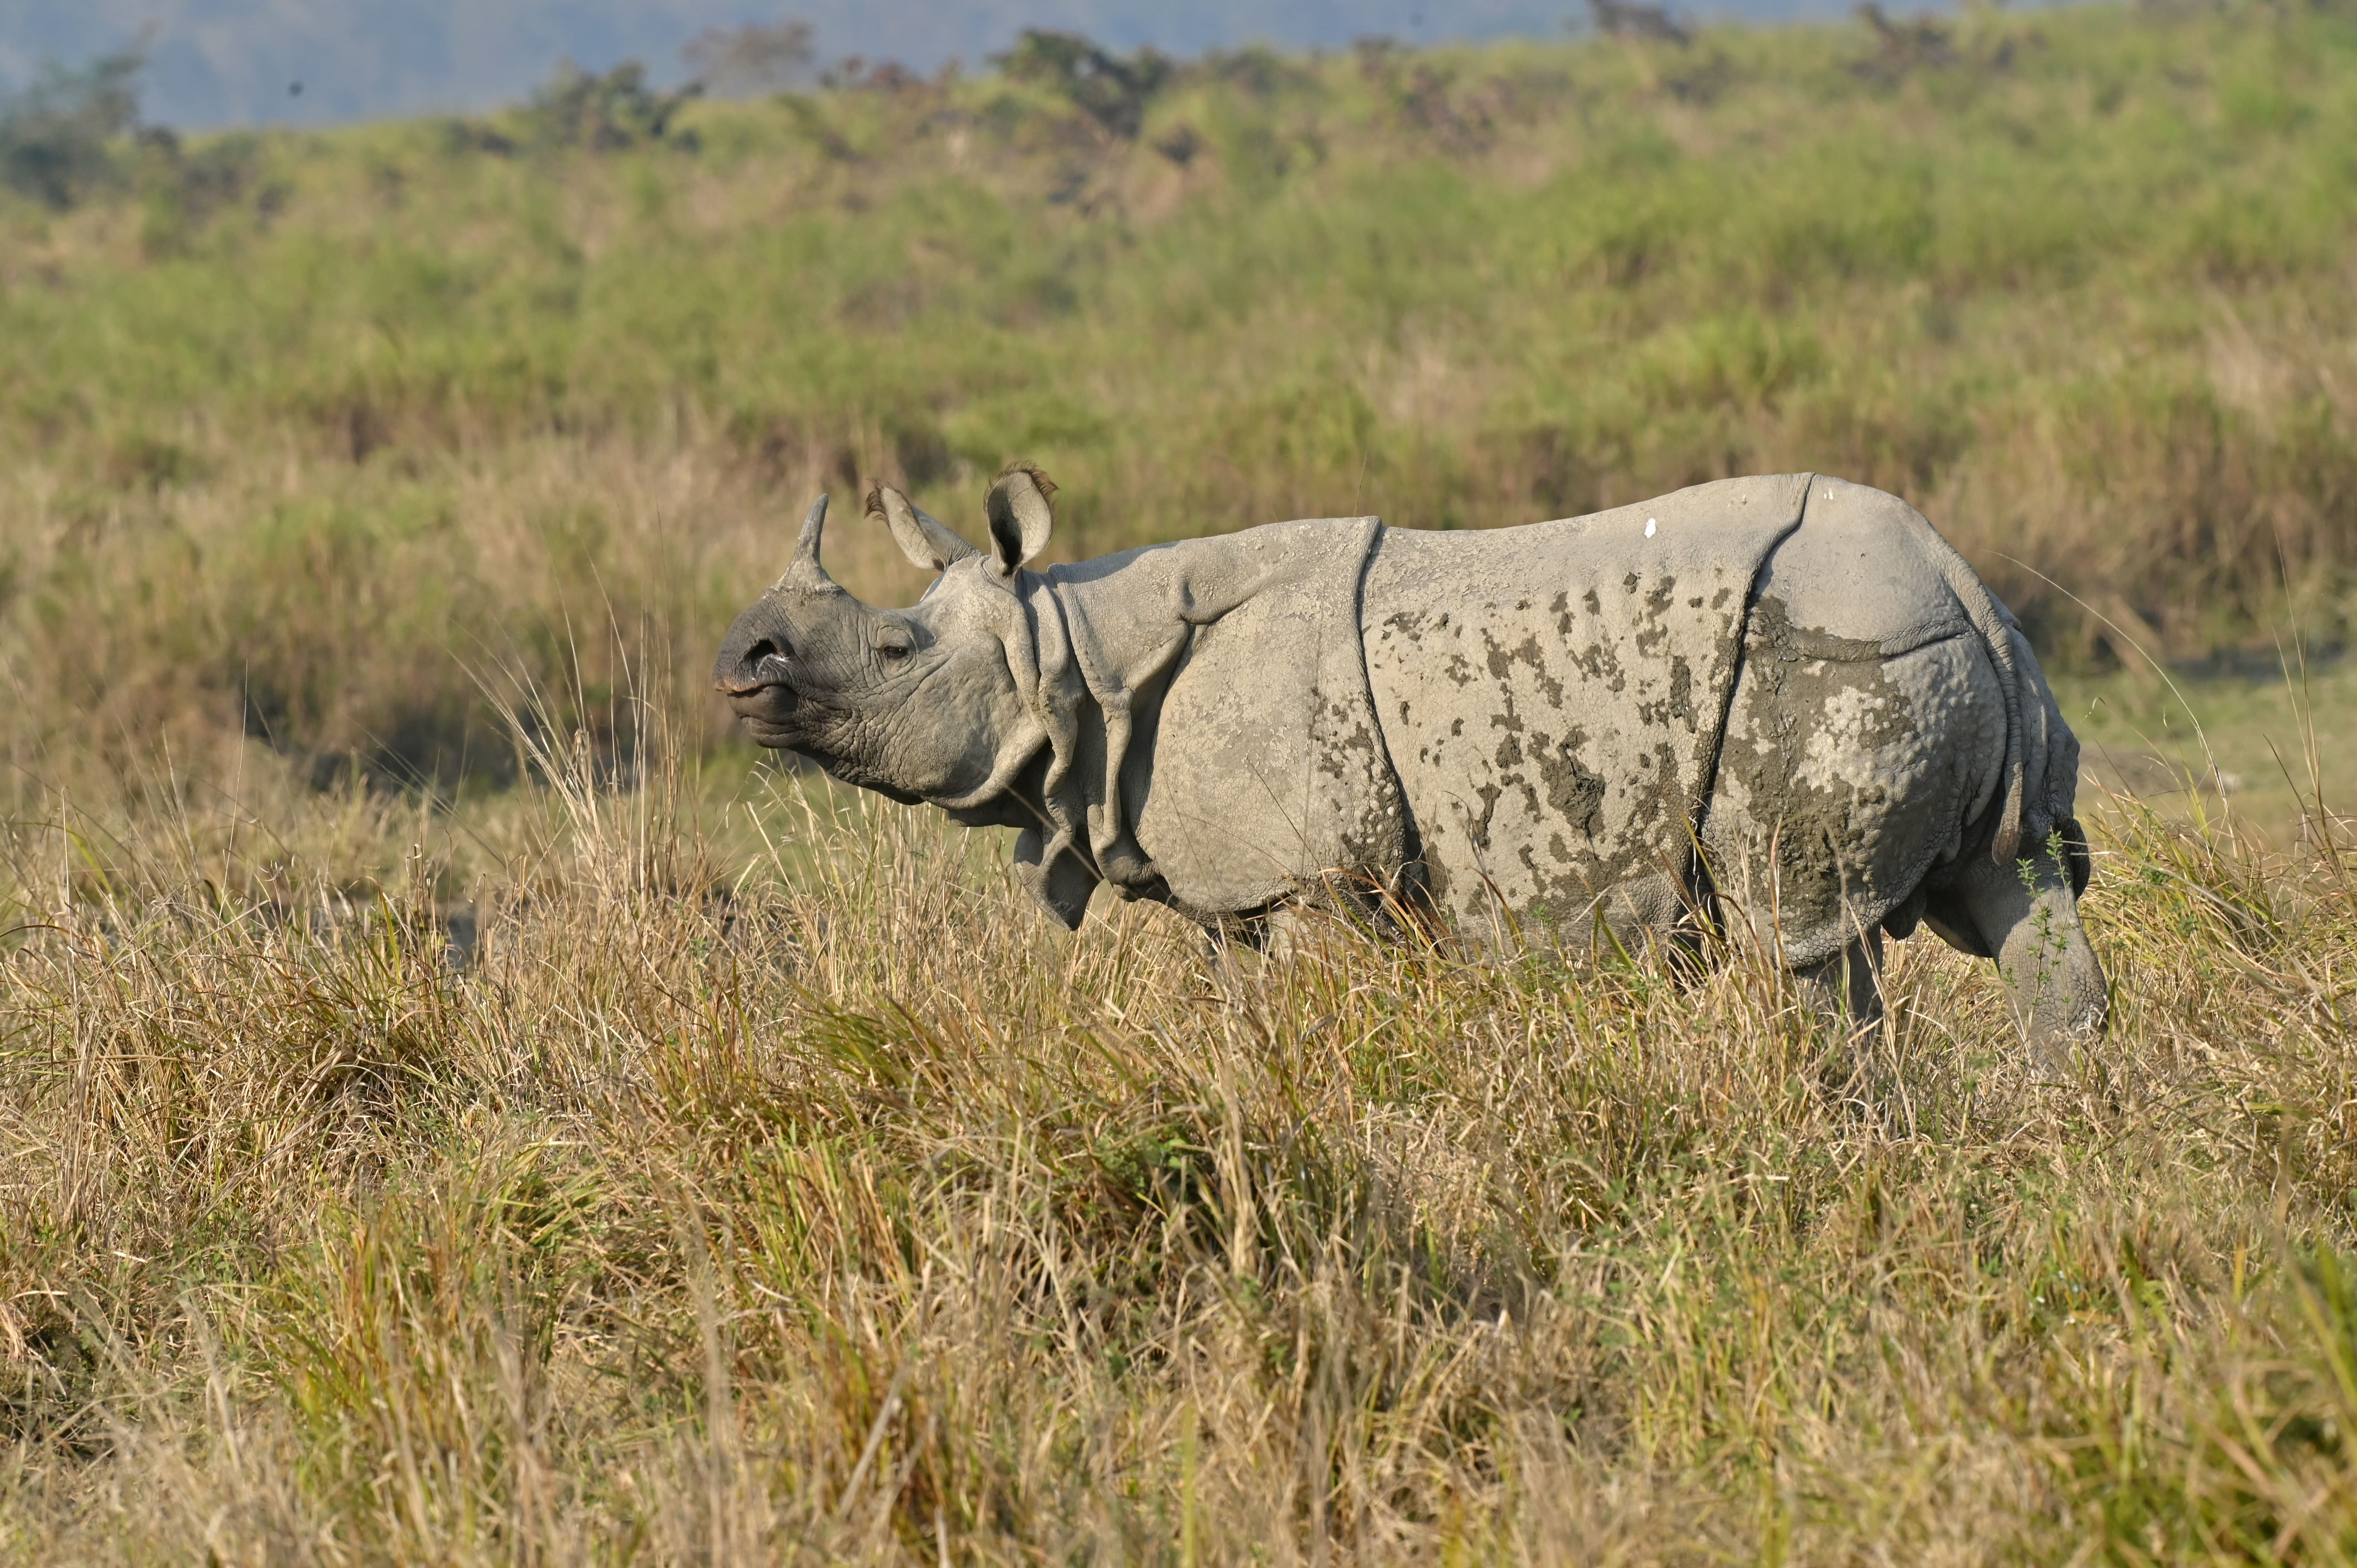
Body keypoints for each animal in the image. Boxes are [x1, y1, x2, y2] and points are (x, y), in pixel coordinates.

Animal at [715, 466, 2108, 1063]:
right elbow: (1241, 1011)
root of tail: (1959, 578)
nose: (742, 660)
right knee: (2023, 893)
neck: (1076, 652)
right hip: (1947, 655)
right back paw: (2062, 1118)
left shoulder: (1319, 876)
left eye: (892, 650)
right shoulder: (1239, 884)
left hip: (1835, 657)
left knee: (1805, 944)